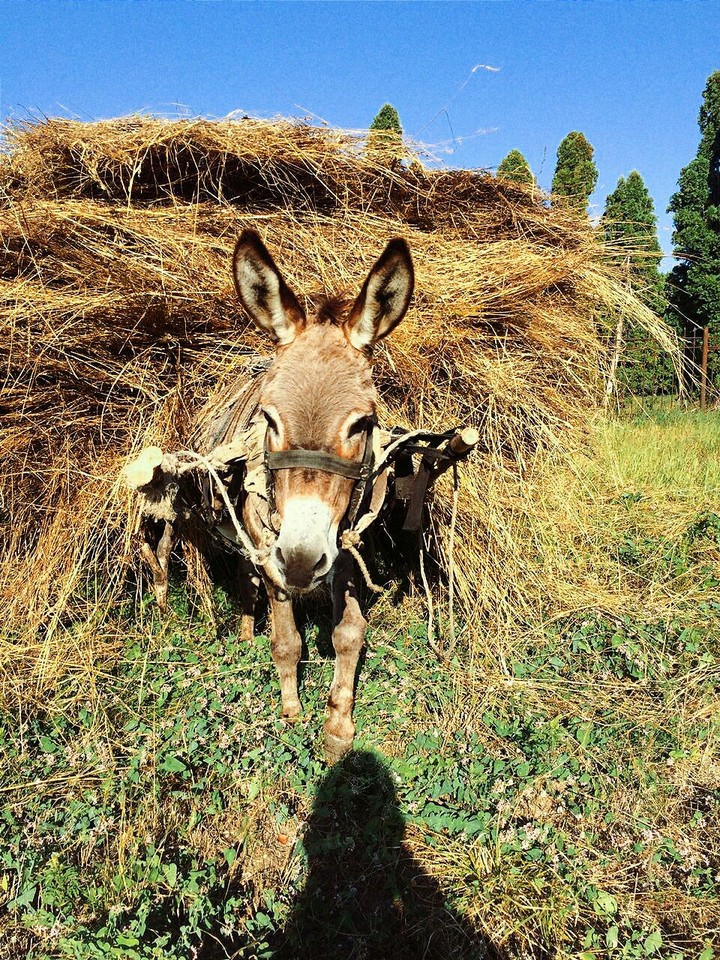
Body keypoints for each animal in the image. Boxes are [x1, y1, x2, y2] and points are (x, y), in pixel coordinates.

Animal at [195, 230, 414, 761]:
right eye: (269, 418)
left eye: (362, 423)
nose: (299, 561)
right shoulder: (270, 547)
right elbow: (287, 639)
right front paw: (292, 709)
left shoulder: (347, 543)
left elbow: (349, 633)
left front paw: (338, 726)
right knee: (247, 579)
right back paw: (247, 631)